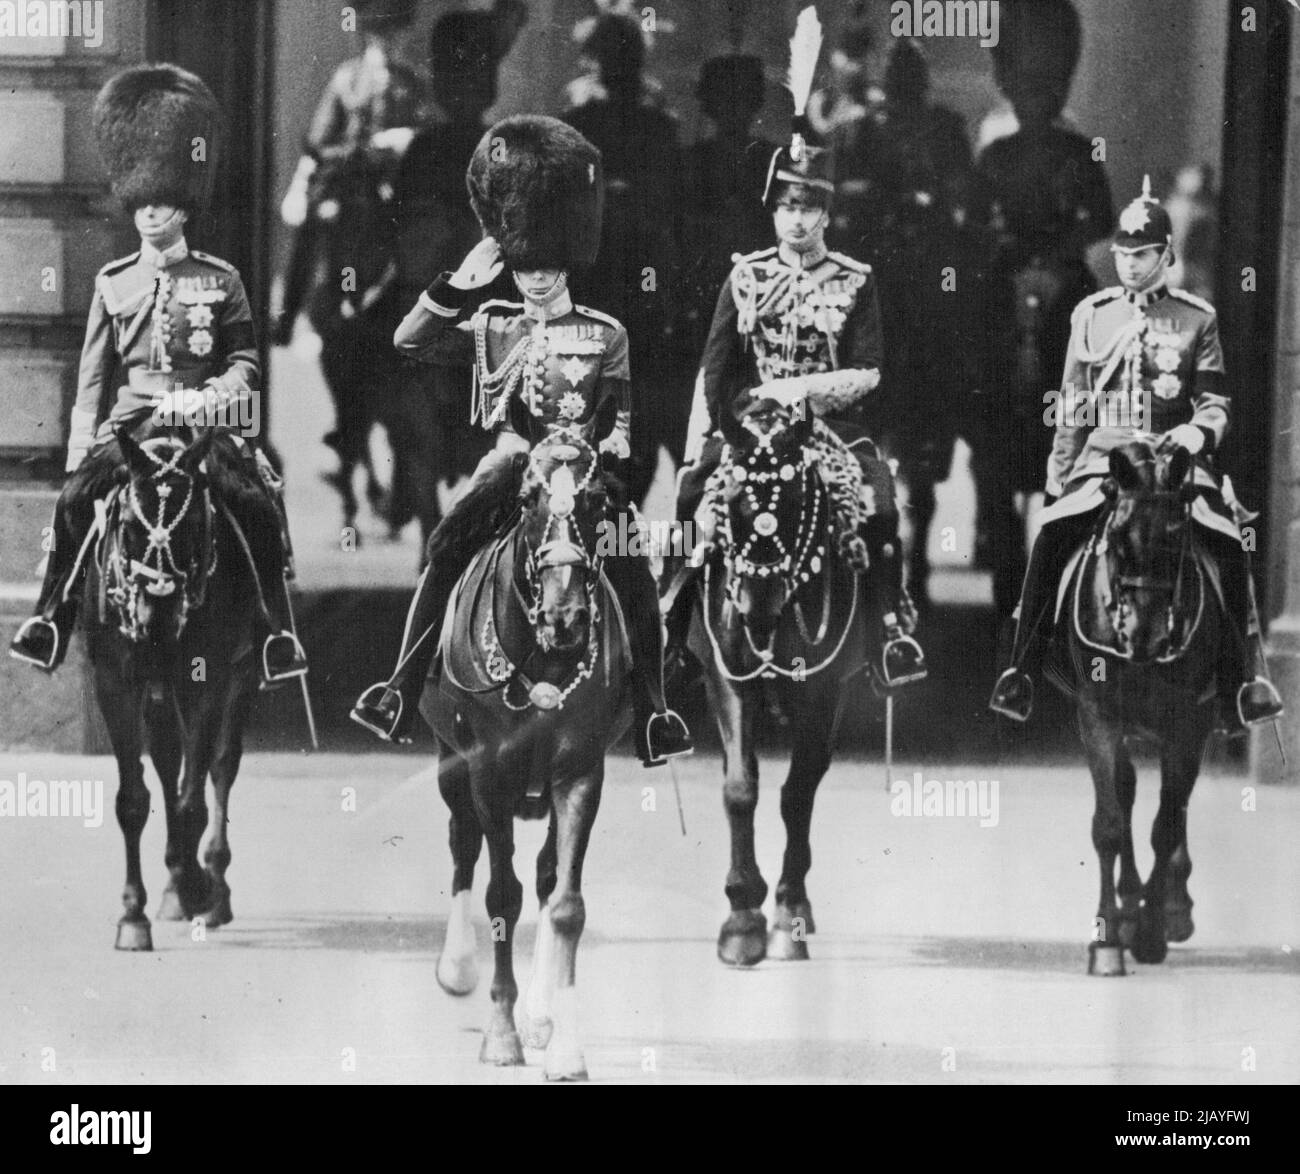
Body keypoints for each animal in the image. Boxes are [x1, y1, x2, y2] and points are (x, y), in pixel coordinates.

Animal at [423, 416, 631, 1081]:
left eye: (598, 502)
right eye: (527, 499)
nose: (566, 618)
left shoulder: (580, 772)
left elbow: (563, 903)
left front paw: (561, 1043)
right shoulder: (489, 772)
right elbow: (500, 897)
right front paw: (500, 1033)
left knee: (543, 875)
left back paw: (540, 1015)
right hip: (451, 763)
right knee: (463, 843)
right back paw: (458, 966)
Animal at [686, 403, 868, 962]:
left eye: (793, 500)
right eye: (728, 498)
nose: (757, 606)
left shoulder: (823, 692)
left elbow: (798, 793)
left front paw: (789, 910)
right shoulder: (726, 675)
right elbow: (740, 787)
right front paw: (742, 917)